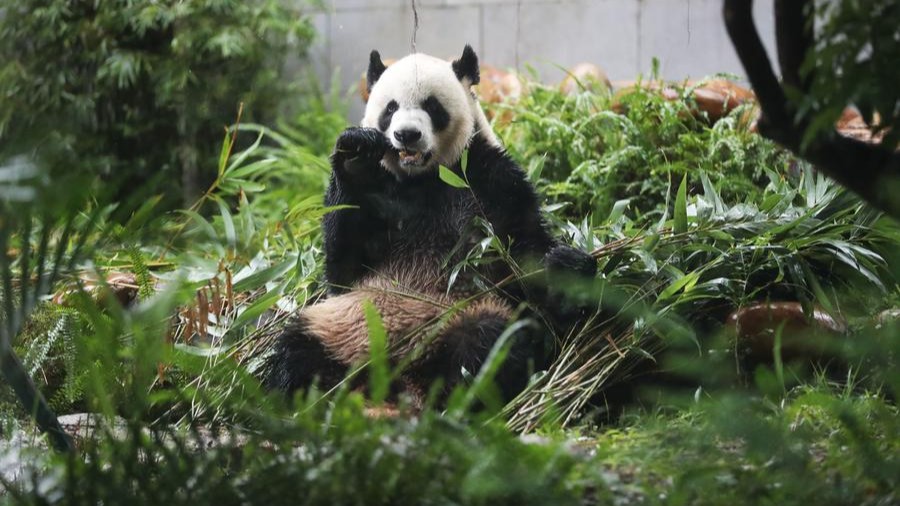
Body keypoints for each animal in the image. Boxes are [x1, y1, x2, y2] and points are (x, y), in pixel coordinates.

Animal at [262, 46, 596, 408]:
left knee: (487, 345)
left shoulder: (490, 180)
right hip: (342, 326)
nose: (407, 134)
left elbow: (525, 252)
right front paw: (357, 155)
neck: (424, 178)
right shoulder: (380, 195)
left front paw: (569, 268)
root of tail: (397, 373)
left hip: (458, 315)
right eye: (390, 108)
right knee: (298, 351)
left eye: (432, 106)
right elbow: (343, 268)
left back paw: (448, 399)